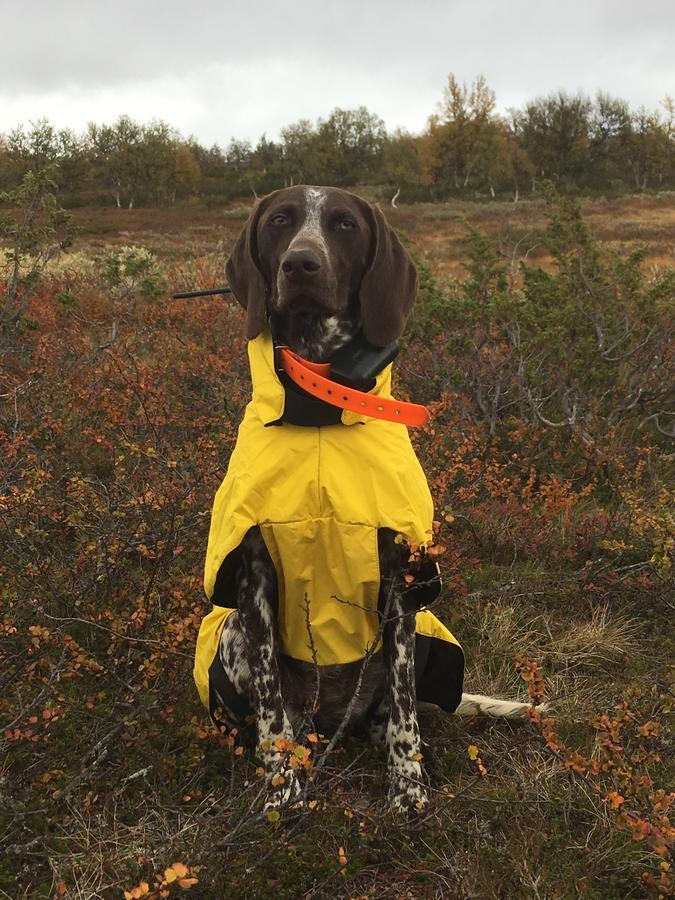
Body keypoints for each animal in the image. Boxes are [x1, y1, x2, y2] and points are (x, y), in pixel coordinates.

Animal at [193, 188, 536, 816]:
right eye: (280, 221)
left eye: (344, 225)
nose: (300, 265)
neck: (319, 407)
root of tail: (332, 724)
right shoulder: (252, 576)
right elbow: (272, 712)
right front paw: (282, 790)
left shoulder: (402, 578)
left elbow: (403, 710)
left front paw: (408, 790)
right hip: (231, 633)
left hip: (422, 631)